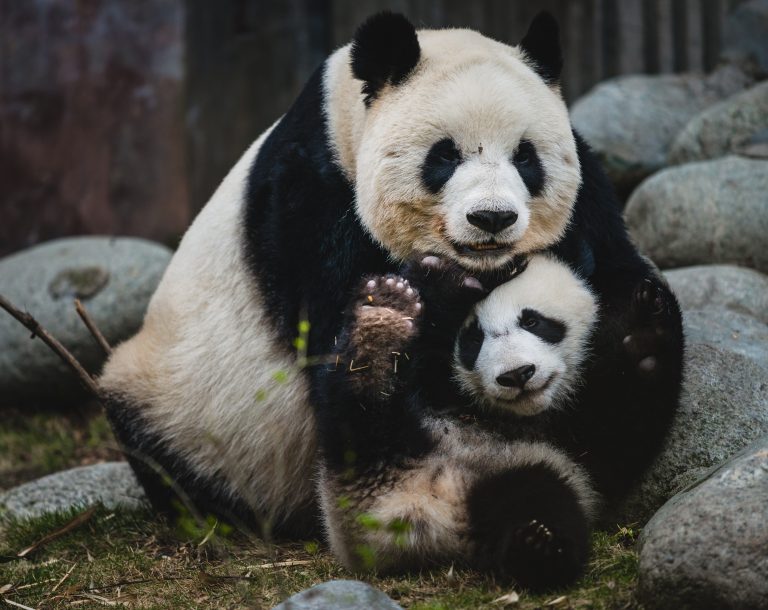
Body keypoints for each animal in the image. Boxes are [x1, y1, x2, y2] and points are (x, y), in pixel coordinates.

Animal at [98, 8, 683, 560]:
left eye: (525, 155)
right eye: (445, 155)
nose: (492, 218)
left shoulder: (590, 197)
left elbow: (610, 278)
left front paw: (633, 335)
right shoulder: (307, 203)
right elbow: (341, 341)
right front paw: (419, 302)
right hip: (184, 407)